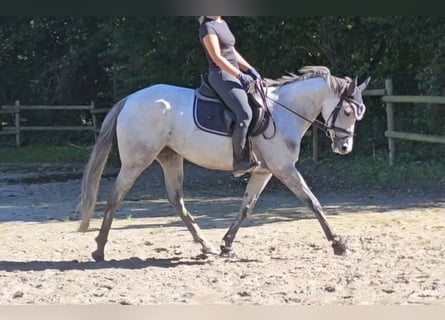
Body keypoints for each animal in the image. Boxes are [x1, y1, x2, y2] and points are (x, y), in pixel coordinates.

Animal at [77, 66, 372, 262]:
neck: (284, 111)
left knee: (176, 199)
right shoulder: (284, 168)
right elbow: (313, 202)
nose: (344, 148)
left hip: (170, 158)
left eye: (360, 113)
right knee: (115, 197)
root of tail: (130, 99)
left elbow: (246, 208)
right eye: (347, 111)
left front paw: (227, 245)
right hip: (136, 161)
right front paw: (338, 243)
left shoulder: (264, 172)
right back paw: (99, 248)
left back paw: (204, 245)